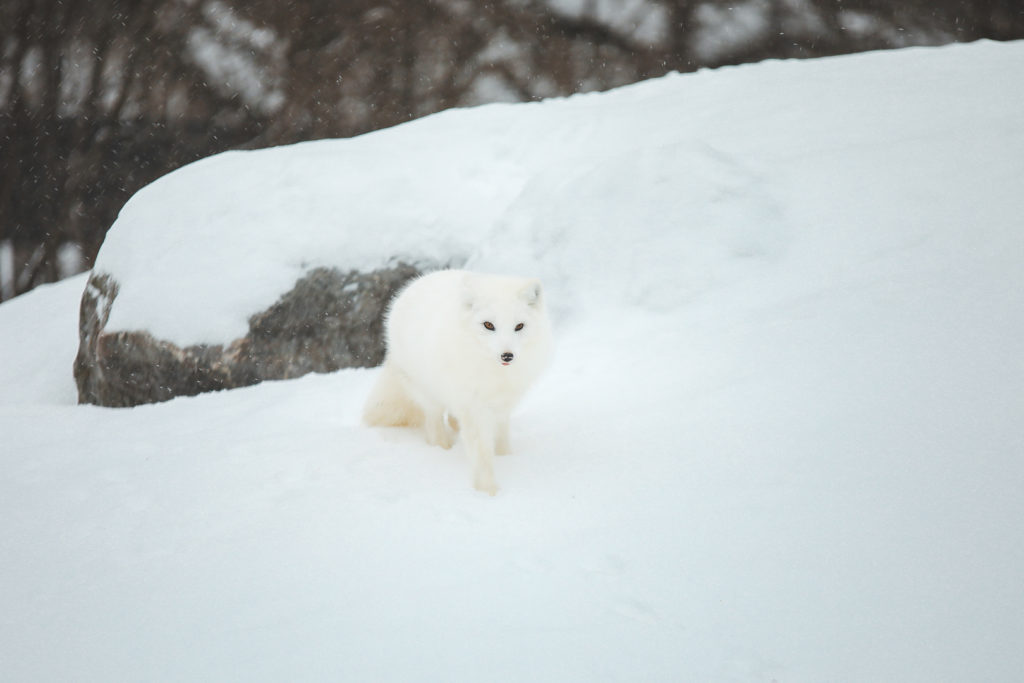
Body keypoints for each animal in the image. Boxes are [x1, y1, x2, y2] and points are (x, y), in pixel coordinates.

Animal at [363, 269, 552, 495]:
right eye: (489, 325)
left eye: (519, 326)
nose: (507, 355)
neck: (495, 375)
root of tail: (419, 281)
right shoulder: (474, 408)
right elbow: (481, 453)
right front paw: (488, 491)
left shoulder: (502, 406)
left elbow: (501, 438)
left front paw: (505, 458)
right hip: (427, 392)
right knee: (434, 422)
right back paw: (442, 447)